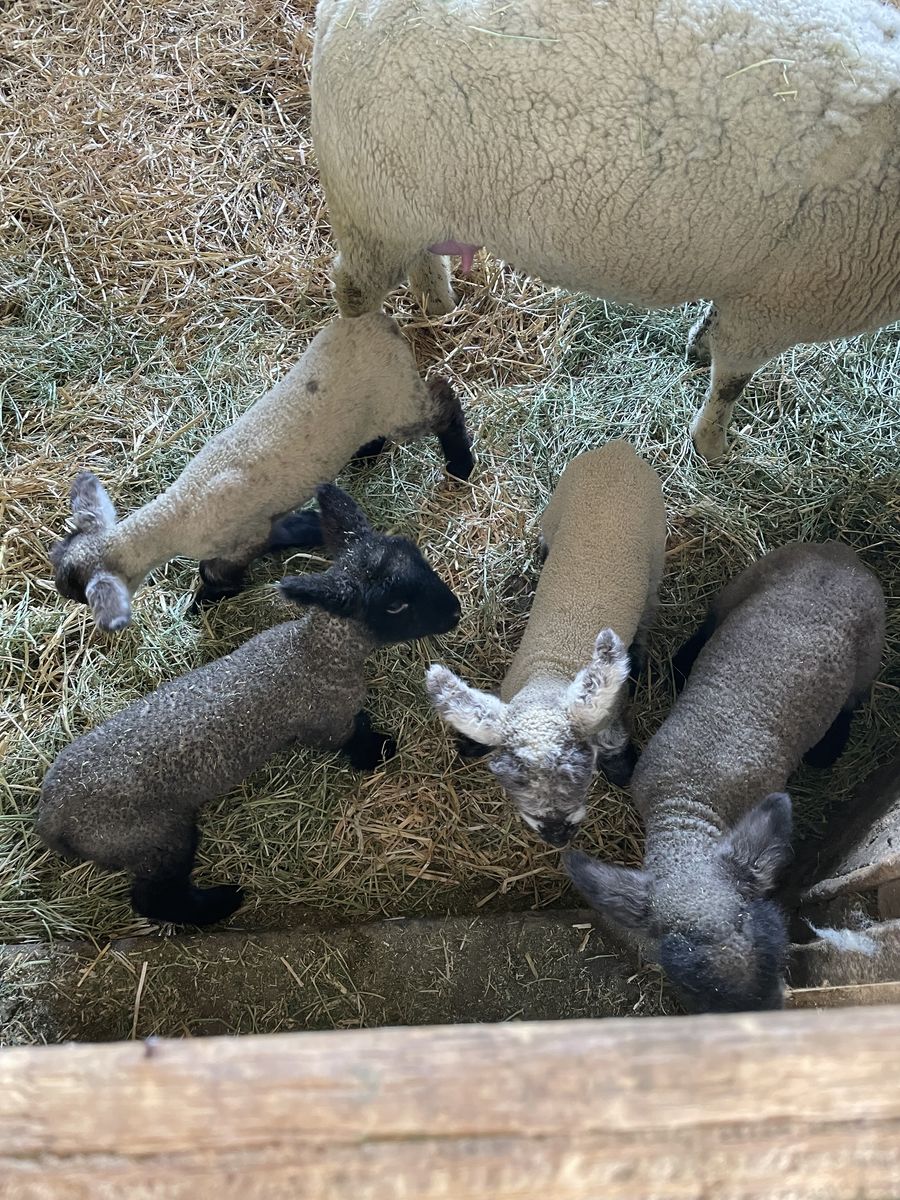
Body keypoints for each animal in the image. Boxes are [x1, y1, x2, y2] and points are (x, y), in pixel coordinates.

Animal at [37, 484, 462, 926]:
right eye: (395, 605)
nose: (455, 612)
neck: (317, 652)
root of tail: (50, 819)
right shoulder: (327, 723)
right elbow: (350, 739)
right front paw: (378, 749)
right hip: (153, 836)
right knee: (153, 897)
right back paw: (221, 903)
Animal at [50, 311, 473, 632]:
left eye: (77, 593)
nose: (59, 592)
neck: (179, 512)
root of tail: (377, 320)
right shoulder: (262, 523)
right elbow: (283, 531)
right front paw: (308, 528)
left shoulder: (240, 539)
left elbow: (215, 573)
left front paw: (203, 603)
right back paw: (367, 453)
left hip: (401, 402)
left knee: (445, 399)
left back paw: (461, 465)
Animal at [310, 0, 900, 460]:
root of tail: (336, 14)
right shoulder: (778, 305)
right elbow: (732, 380)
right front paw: (712, 444)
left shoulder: (753, 285)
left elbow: (716, 334)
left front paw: (697, 347)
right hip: (370, 200)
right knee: (354, 290)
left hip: (403, 203)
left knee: (420, 256)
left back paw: (438, 302)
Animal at [425, 441, 666, 846]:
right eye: (510, 779)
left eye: (581, 771)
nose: (556, 835)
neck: (551, 678)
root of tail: (618, 449)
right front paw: (472, 744)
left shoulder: (608, 712)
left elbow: (614, 742)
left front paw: (622, 771)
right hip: (556, 507)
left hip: (656, 555)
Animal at [565, 541, 886, 1012]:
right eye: (689, 982)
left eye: (776, 952)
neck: (691, 798)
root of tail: (839, 551)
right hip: (744, 582)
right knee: (712, 619)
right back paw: (681, 664)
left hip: (870, 651)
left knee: (853, 700)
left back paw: (829, 748)